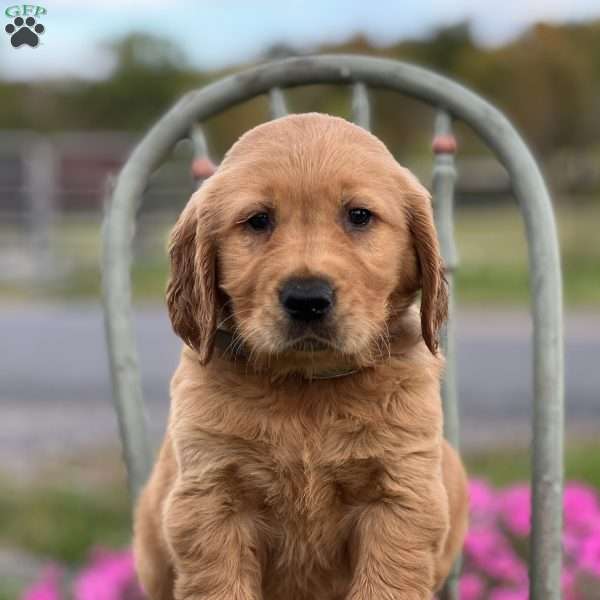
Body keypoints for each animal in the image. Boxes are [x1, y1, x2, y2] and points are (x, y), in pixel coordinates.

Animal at [134, 112, 466, 600]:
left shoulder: (401, 495)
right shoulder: (210, 498)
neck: (307, 387)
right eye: (257, 221)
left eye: (359, 216)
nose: (307, 299)